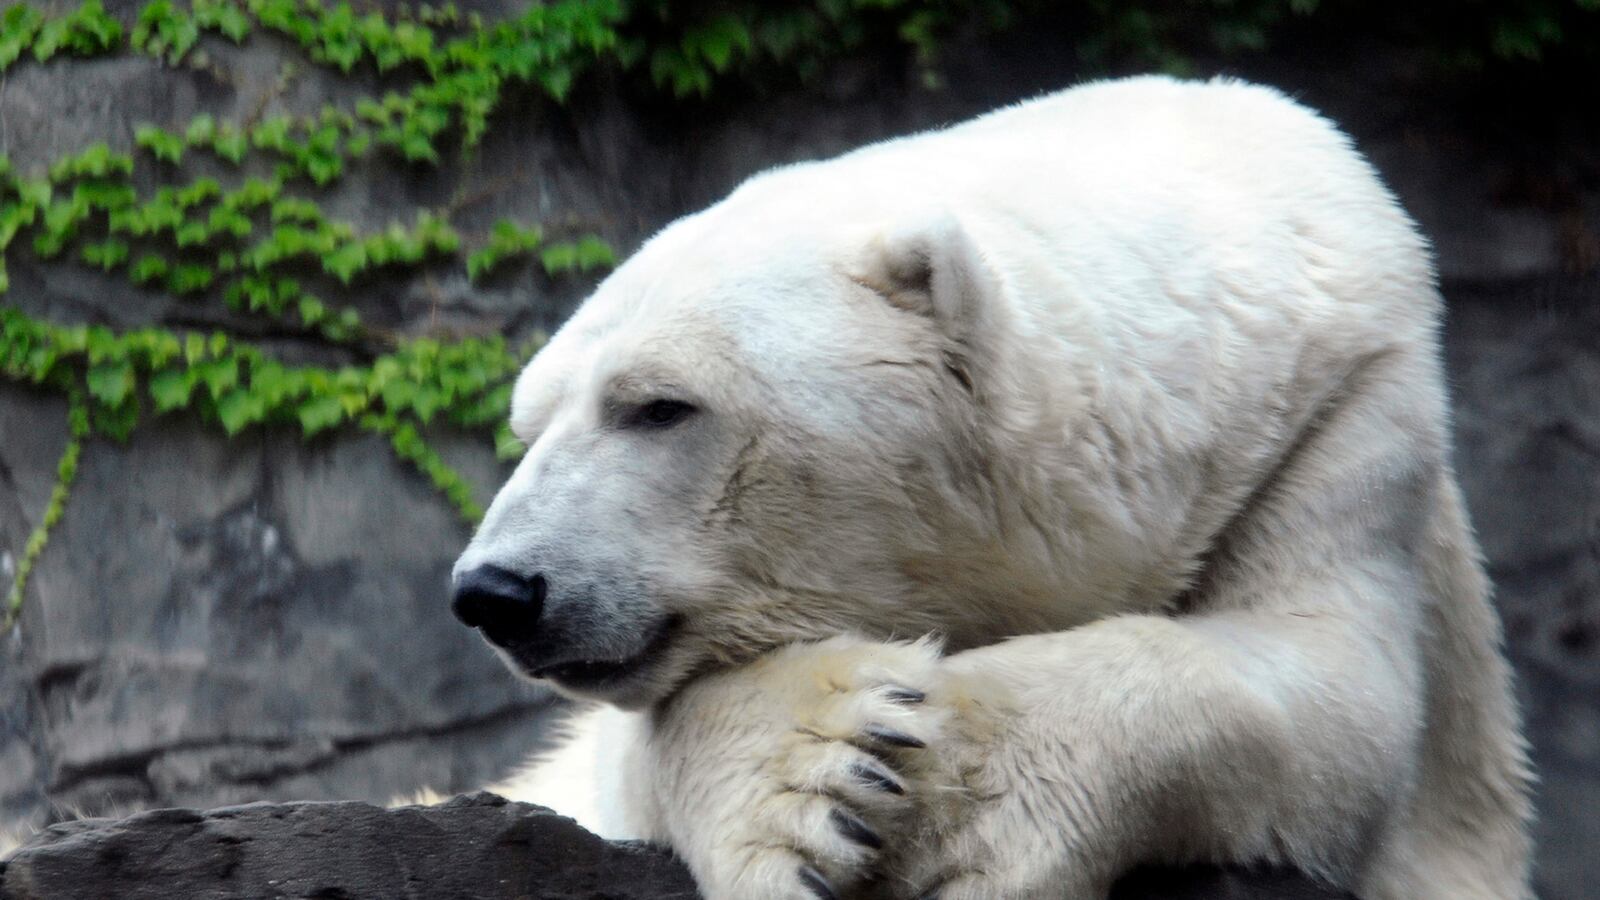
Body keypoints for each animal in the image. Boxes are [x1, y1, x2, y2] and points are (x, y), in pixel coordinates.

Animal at [449, 75, 1532, 900]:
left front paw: (958, 803)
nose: (496, 591)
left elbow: (1331, 698)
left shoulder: (1335, 423)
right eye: (530, 425)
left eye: (658, 406)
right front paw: (827, 776)